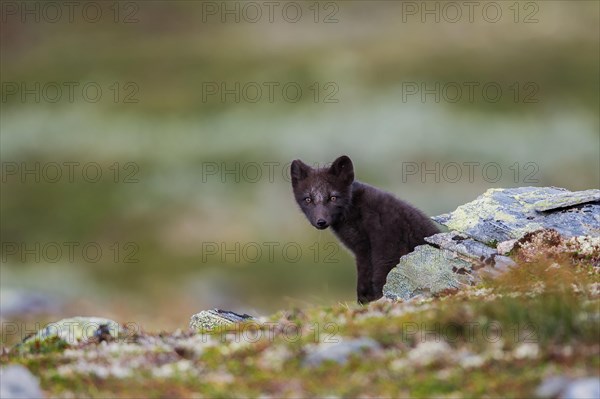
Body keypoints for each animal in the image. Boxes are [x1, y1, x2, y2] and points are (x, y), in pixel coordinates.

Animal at [292, 155, 440, 304]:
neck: (354, 211)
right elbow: (364, 278)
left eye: (333, 197)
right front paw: (364, 301)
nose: (321, 222)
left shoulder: (386, 245)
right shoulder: (362, 250)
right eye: (308, 199)